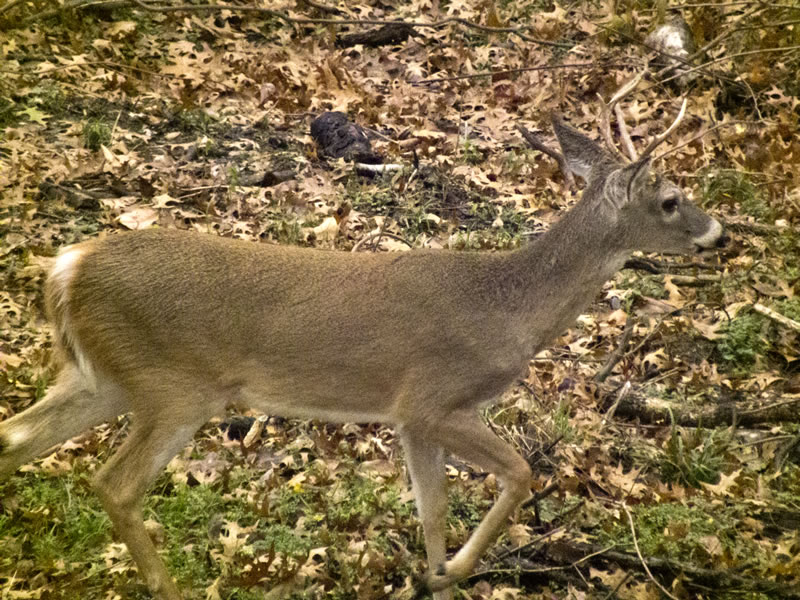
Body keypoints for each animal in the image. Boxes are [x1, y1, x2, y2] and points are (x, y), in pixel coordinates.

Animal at [0, 111, 726, 600]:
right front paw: (456, 571)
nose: (719, 233)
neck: (509, 307)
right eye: (670, 200)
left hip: (103, 377)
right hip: (174, 385)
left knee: (19, 438)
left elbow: (431, 510)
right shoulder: (433, 398)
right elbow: (519, 473)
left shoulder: (408, 418)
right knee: (113, 484)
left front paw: (434, 576)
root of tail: (67, 267)